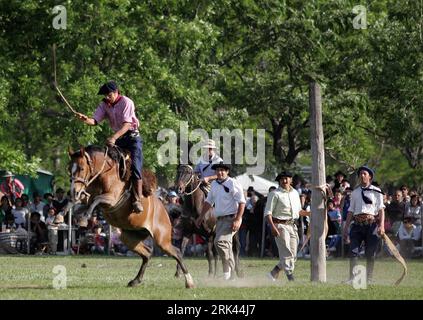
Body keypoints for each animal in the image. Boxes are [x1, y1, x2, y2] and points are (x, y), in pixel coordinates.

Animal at [70, 145, 195, 288]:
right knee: (147, 253)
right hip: (129, 237)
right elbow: (85, 202)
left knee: (177, 253)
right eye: (69, 169)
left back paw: (189, 281)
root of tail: (164, 209)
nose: (74, 191)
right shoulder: (87, 197)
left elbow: (96, 200)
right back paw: (136, 280)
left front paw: (84, 218)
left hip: (162, 239)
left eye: (81, 168)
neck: (105, 174)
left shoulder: (111, 199)